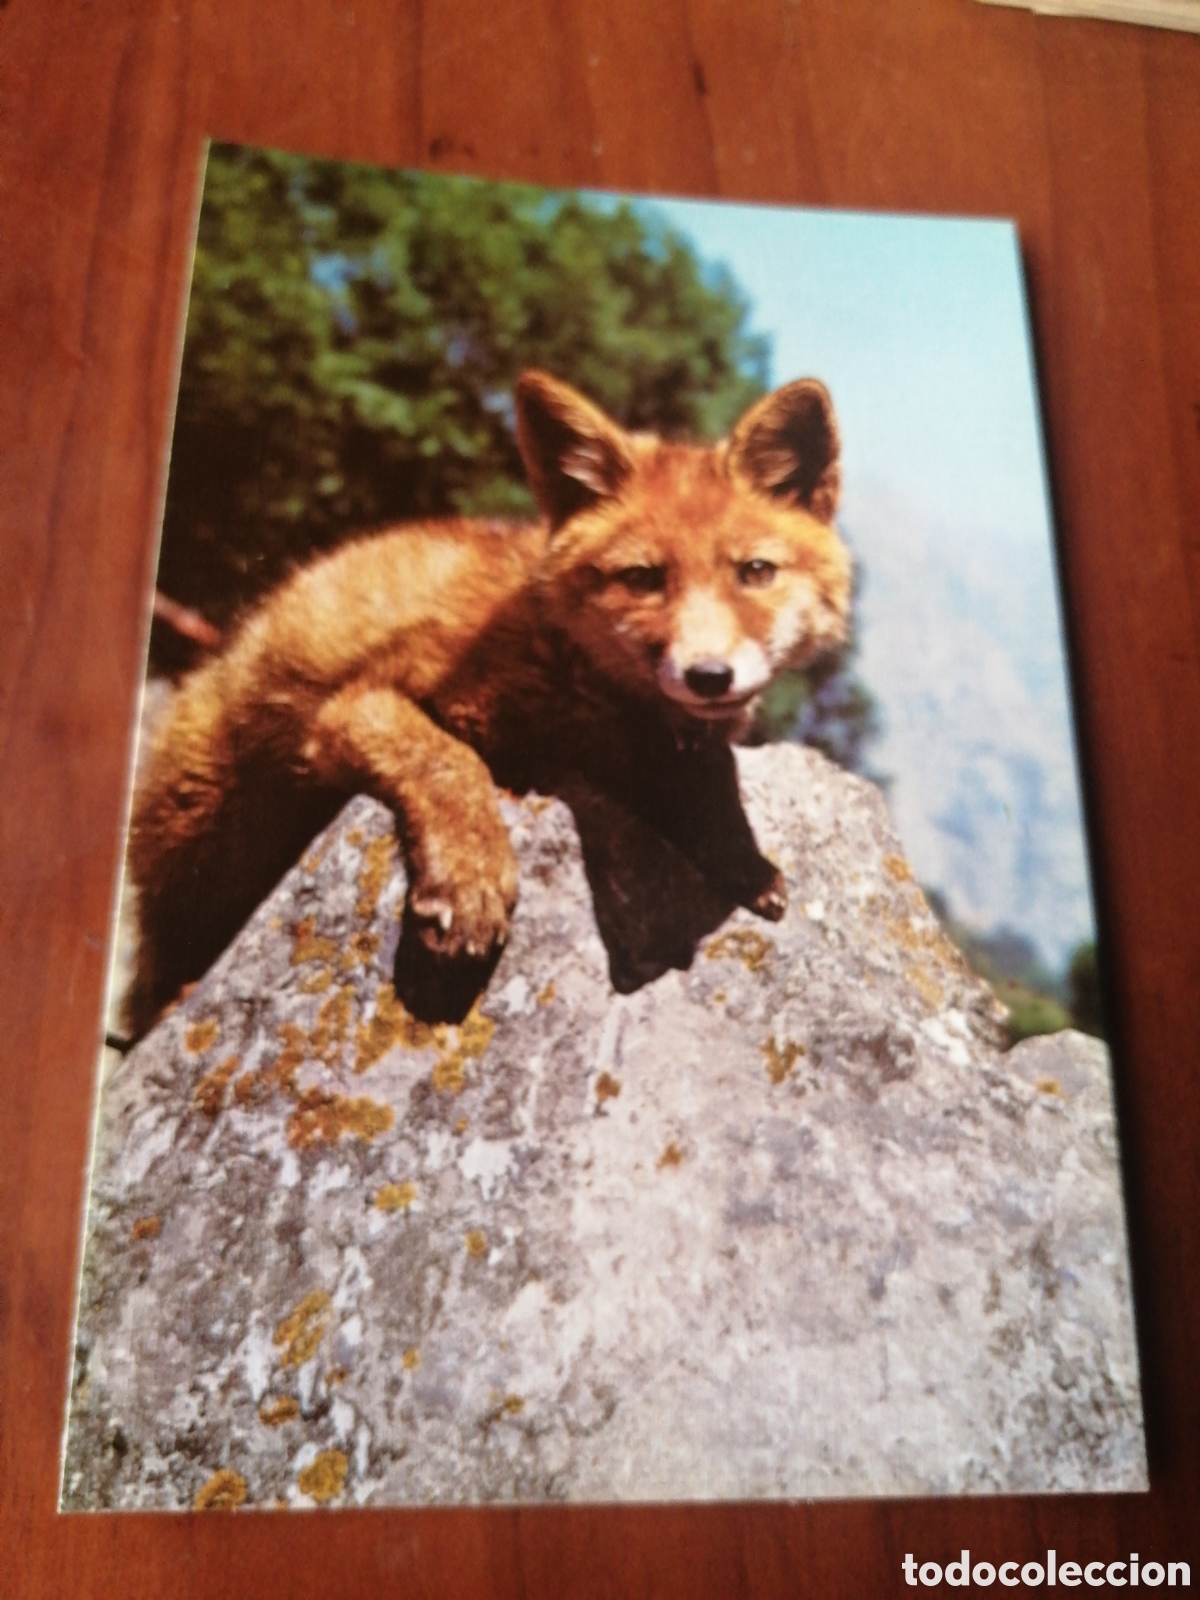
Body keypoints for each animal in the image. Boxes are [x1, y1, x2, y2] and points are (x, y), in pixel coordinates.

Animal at [125, 370, 851, 1039]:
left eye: (755, 573)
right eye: (644, 578)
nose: (708, 676)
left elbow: (715, 777)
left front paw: (742, 856)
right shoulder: (354, 706)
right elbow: (451, 764)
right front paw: (472, 883)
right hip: (207, 839)